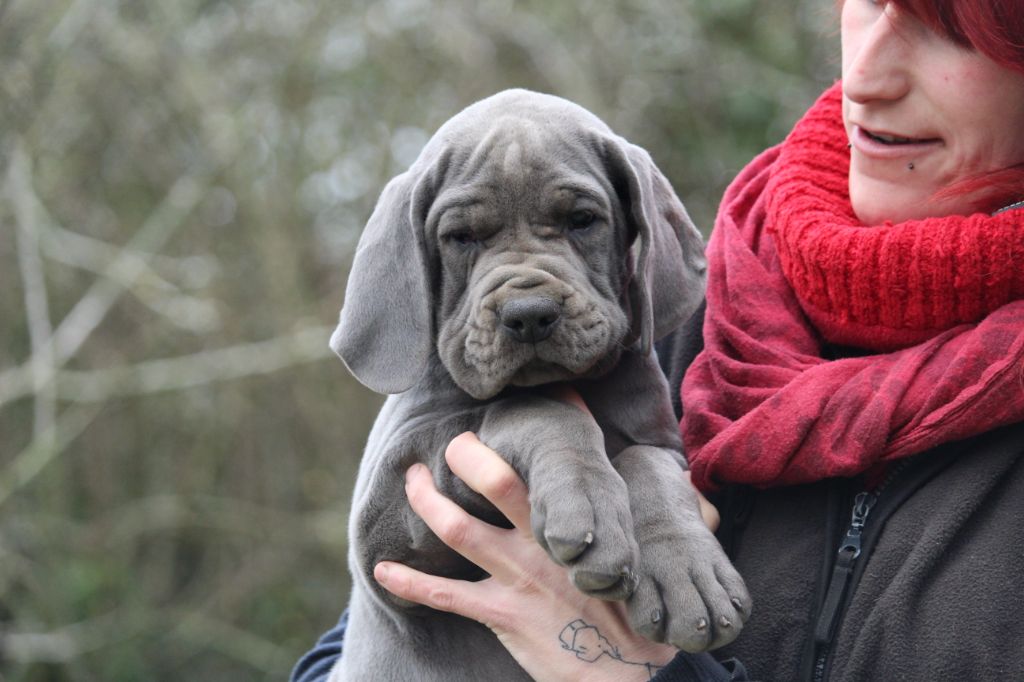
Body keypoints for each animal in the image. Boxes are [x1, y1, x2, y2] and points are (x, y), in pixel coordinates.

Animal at [327, 91, 753, 679]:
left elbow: (648, 464)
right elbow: (532, 406)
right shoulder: (383, 535)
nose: (528, 315)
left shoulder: (665, 443)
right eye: (461, 237)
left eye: (582, 221)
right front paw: (585, 503)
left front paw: (687, 573)